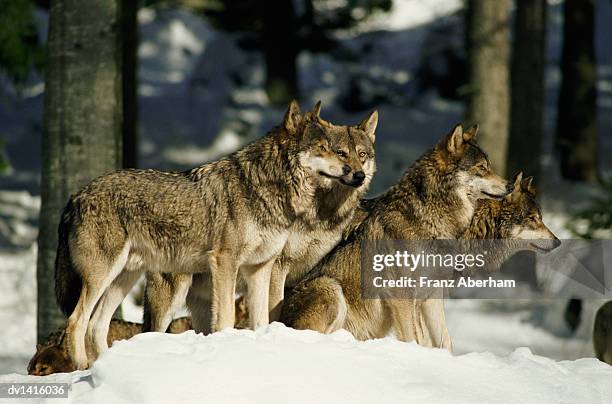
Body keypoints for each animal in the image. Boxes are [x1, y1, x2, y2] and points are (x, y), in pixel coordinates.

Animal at [142, 104, 378, 332]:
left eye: (362, 154)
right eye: (341, 153)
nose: (358, 175)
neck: (318, 214)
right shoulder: (277, 267)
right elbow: (273, 312)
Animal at [280, 123, 510, 344]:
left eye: (488, 166)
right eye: (482, 168)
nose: (509, 185)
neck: (429, 220)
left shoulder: (432, 296)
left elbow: (444, 341)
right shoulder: (401, 295)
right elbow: (412, 338)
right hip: (330, 287)